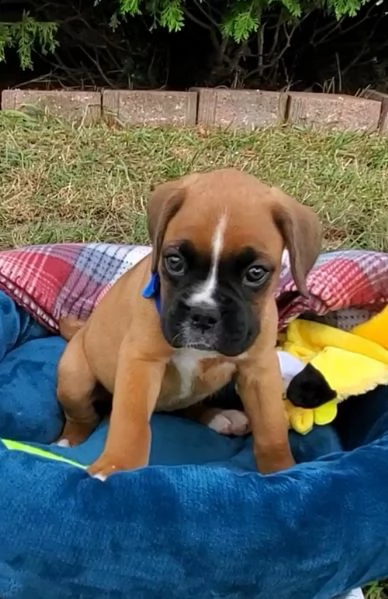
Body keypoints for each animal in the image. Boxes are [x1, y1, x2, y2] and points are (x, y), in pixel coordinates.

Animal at [56, 168, 322, 478]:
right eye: (174, 261)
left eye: (256, 273)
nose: (204, 314)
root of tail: (81, 330)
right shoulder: (141, 362)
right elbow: (131, 422)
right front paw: (117, 465)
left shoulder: (259, 369)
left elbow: (271, 428)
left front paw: (280, 470)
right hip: (74, 378)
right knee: (82, 416)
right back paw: (68, 442)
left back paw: (220, 417)